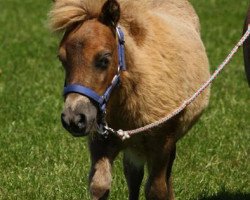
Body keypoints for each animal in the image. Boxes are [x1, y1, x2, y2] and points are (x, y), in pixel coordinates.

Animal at [48, 0, 209, 200]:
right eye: (62, 59)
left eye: (104, 59)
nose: (73, 118)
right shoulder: (100, 142)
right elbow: (99, 186)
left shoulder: (162, 143)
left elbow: (156, 190)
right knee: (133, 176)